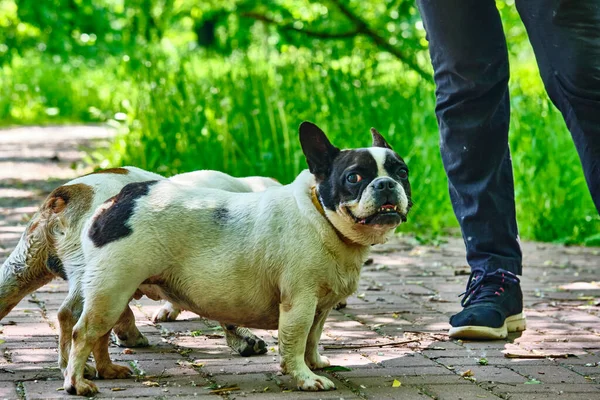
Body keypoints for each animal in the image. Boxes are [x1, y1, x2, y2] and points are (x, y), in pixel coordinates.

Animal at [65, 122, 412, 396]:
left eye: (402, 172)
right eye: (354, 178)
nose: (386, 183)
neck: (322, 217)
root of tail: (119, 199)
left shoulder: (320, 307)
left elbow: (313, 337)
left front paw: (315, 364)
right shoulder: (299, 302)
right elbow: (295, 340)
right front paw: (304, 377)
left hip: (112, 295)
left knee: (101, 335)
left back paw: (108, 371)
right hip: (111, 291)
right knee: (84, 333)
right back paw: (77, 383)